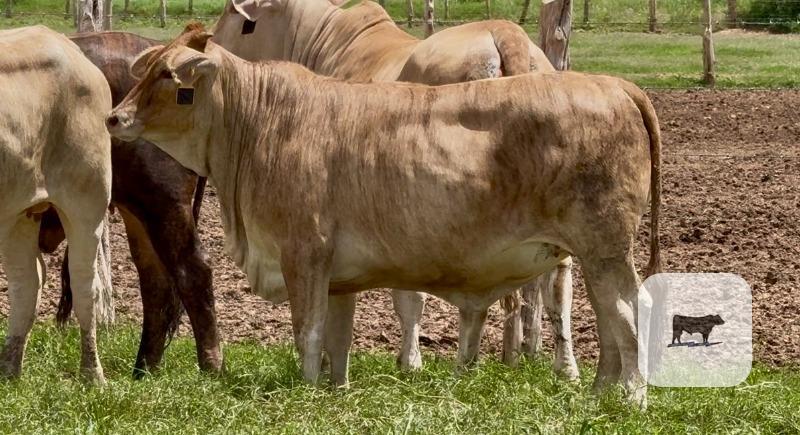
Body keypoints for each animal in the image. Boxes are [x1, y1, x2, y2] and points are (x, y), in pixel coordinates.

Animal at [0, 26, 112, 382]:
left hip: (87, 203)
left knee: (86, 286)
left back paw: (93, 374)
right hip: (17, 213)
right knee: (26, 282)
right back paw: (9, 370)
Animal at [39, 31, 221, 377]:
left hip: (164, 201)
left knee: (193, 271)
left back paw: (211, 366)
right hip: (138, 211)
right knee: (156, 283)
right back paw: (144, 370)